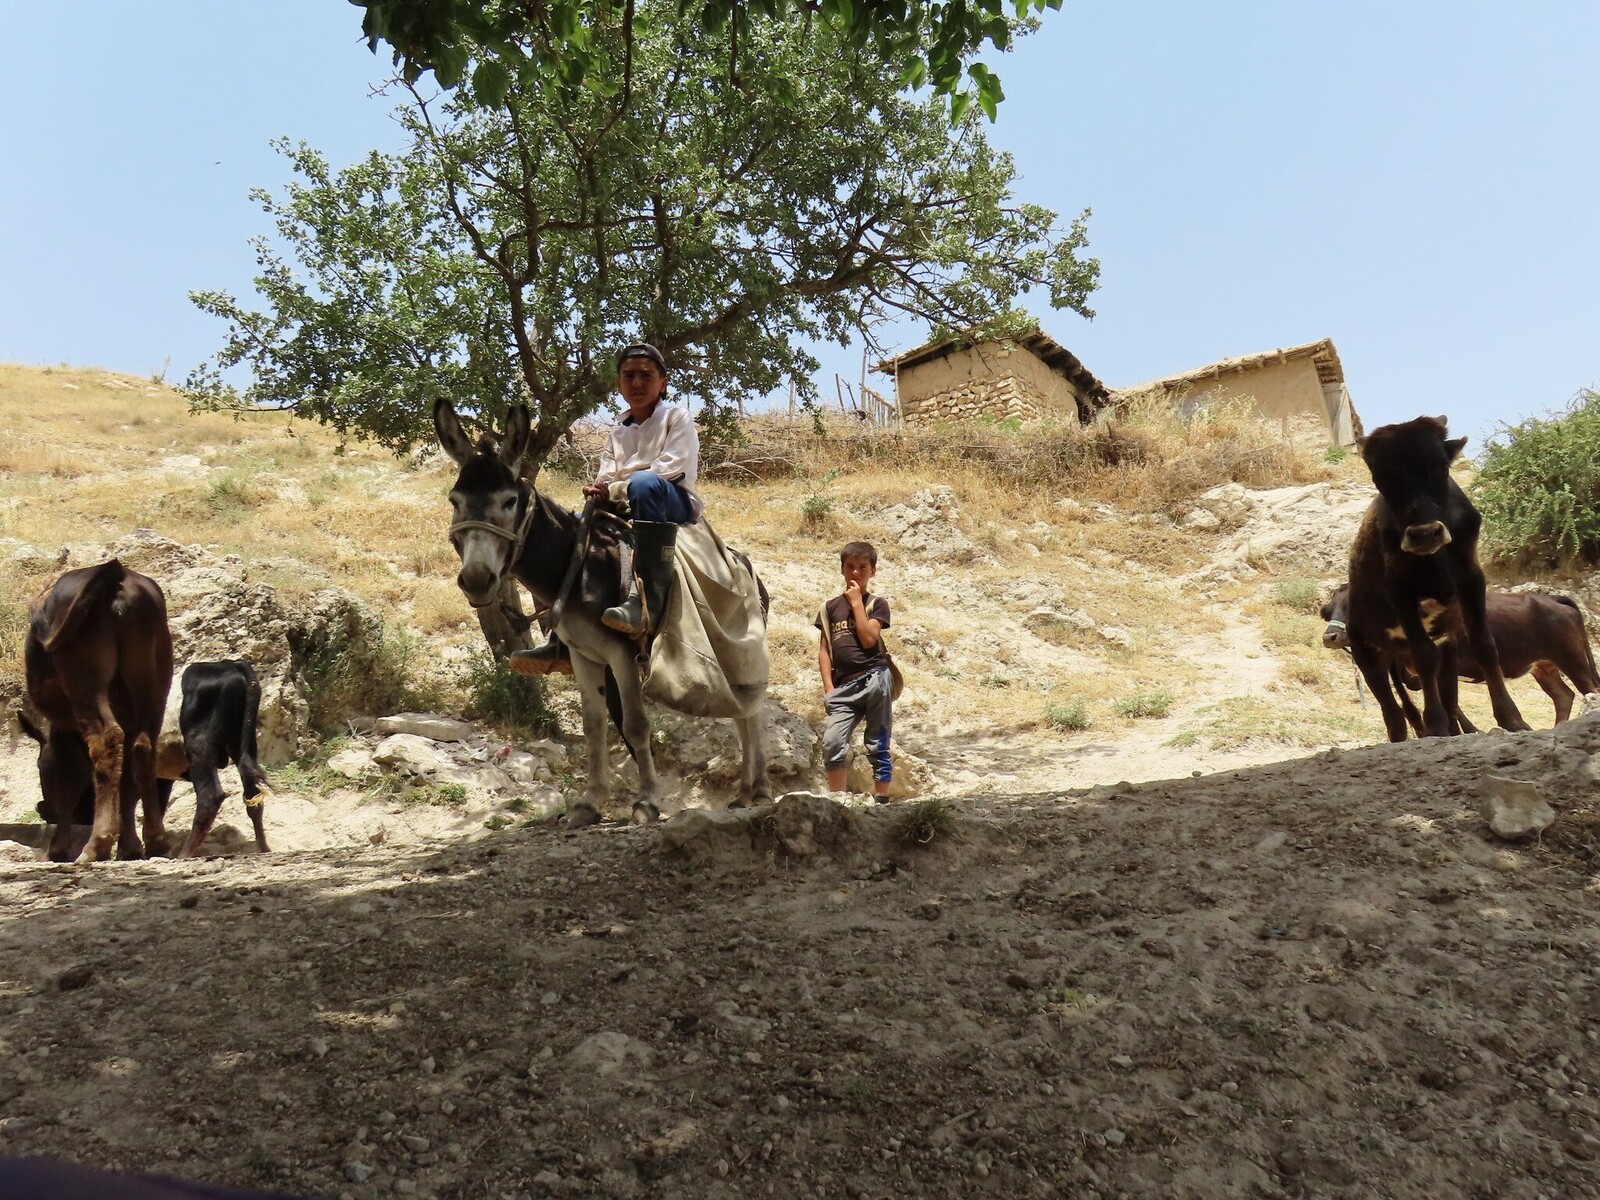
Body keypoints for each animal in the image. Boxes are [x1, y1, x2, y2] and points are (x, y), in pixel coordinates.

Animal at [434, 400, 771, 826]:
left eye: (509, 501)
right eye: (455, 501)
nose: (477, 580)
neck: (578, 565)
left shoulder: (623, 654)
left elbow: (636, 725)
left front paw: (647, 802)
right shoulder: (584, 656)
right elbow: (594, 726)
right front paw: (589, 803)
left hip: (736, 644)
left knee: (753, 712)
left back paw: (758, 791)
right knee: (743, 714)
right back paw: (746, 792)